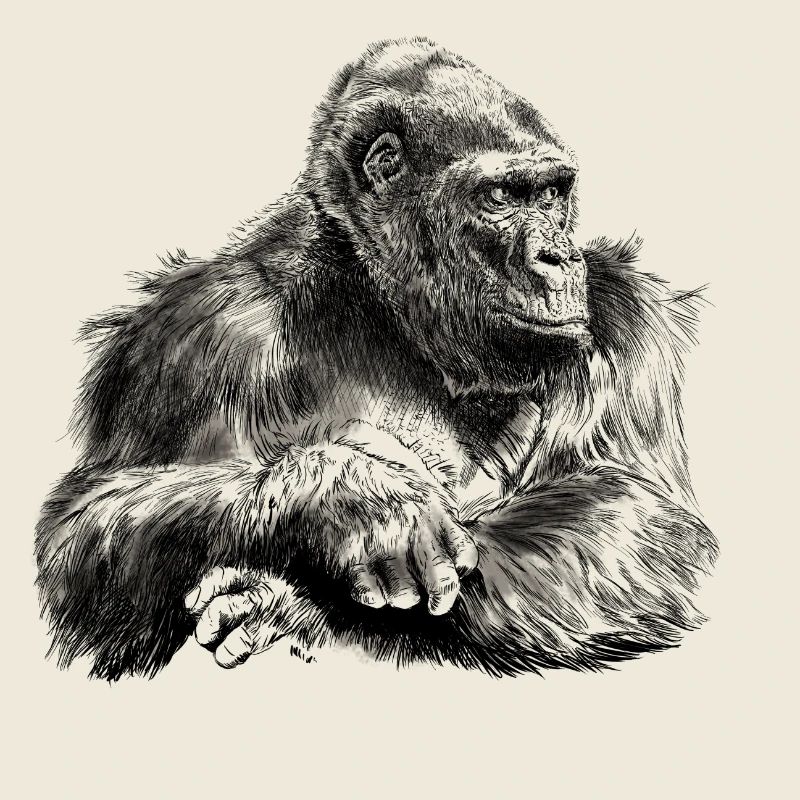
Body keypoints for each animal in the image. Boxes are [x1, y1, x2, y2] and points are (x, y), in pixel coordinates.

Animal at [35, 37, 718, 680]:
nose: (559, 257)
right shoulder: (196, 331)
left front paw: (298, 603)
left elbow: (641, 519)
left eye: (552, 194)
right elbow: (84, 533)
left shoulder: (626, 317)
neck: (380, 301)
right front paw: (351, 500)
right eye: (501, 197)